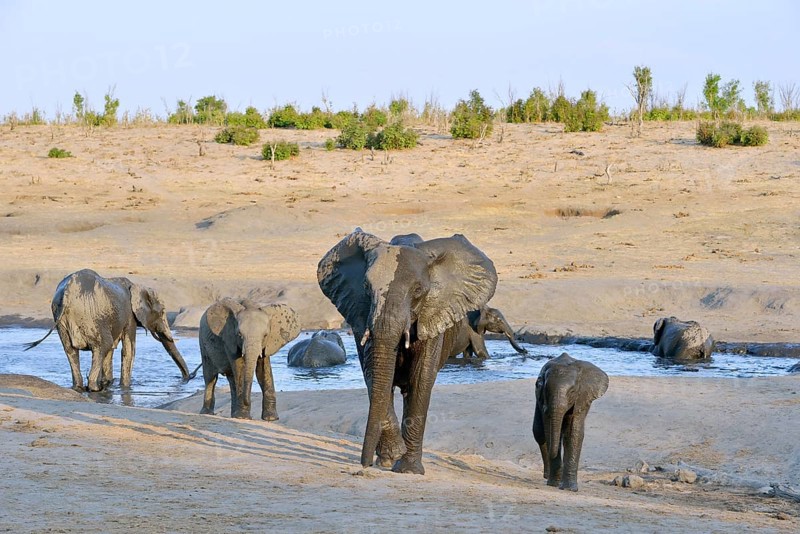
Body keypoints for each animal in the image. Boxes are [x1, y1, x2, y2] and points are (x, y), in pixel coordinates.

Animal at [24, 269, 191, 392]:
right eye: (162, 312)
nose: (186, 378)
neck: (138, 286)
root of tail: (67, 293)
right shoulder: (129, 316)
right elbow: (128, 350)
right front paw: (124, 387)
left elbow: (112, 351)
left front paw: (110, 382)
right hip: (91, 315)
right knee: (102, 346)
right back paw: (96, 388)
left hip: (61, 319)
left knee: (71, 351)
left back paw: (81, 387)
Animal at [318, 228, 497, 474]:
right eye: (366, 288)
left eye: (419, 290)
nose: (364, 465)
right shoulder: (360, 313)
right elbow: (373, 372)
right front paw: (392, 454)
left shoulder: (432, 315)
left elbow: (420, 379)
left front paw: (408, 469)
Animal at [533, 353, 608, 491]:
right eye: (546, 390)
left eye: (572, 392)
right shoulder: (543, 399)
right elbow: (548, 431)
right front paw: (554, 484)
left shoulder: (581, 398)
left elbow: (573, 433)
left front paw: (569, 489)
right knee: (539, 433)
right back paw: (547, 476)